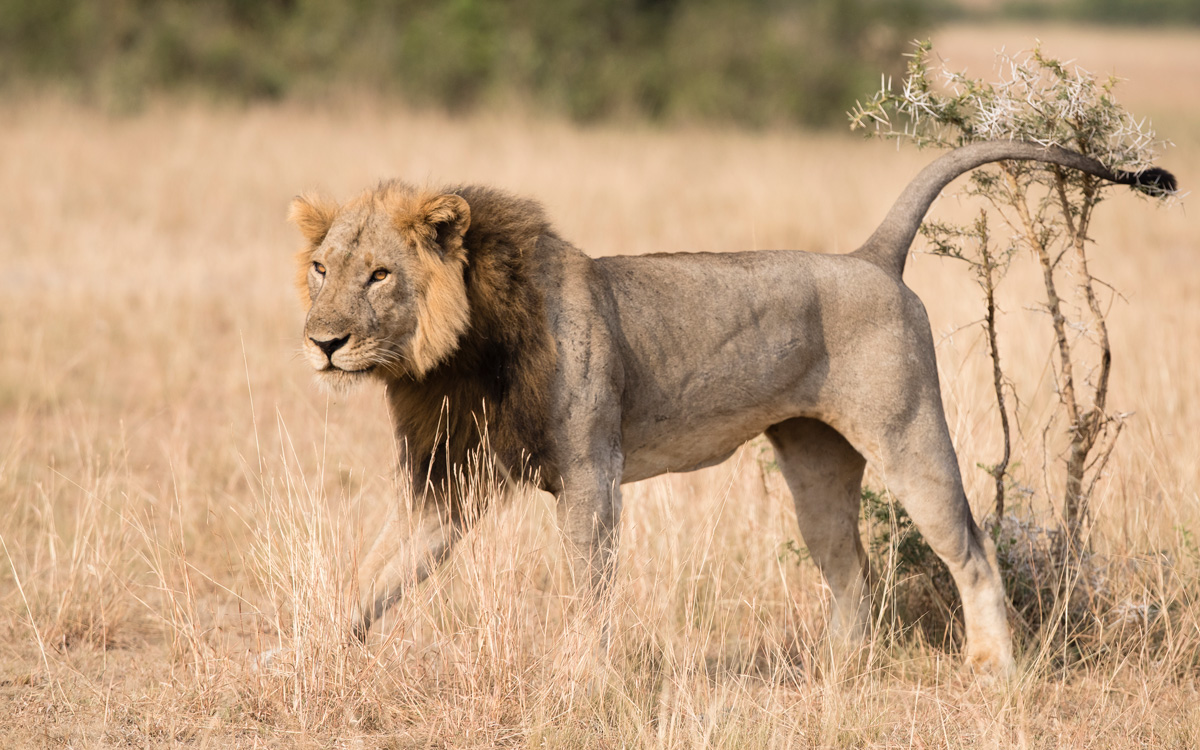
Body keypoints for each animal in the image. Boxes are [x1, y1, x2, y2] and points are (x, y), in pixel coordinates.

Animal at [289, 141, 1173, 672]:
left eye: (379, 275)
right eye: (322, 269)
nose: (322, 343)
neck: (454, 357)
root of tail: (871, 258)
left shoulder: (590, 473)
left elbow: (588, 584)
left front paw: (582, 676)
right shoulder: (451, 483)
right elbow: (373, 577)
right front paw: (299, 655)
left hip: (909, 437)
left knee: (974, 552)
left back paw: (994, 672)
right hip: (815, 464)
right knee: (852, 572)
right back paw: (836, 674)